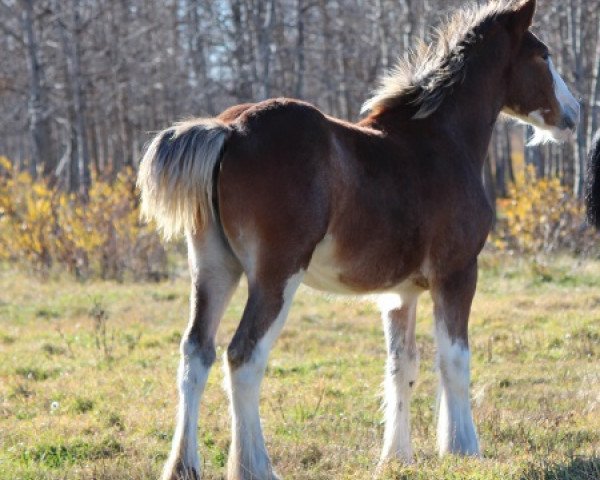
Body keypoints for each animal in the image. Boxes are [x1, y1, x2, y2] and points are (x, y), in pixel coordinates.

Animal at [138, 0, 580, 480]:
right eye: (543, 55)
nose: (573, 113)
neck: (441, 141)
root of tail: (230, 129)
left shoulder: (401, 294)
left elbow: (402, 366)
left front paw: (396, 457)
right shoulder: (457, 273)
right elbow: (454, 359)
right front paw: (463, 448)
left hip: (213, 269)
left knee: (195, 353)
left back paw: (183, 466)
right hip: (276, 276)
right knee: (243, 357)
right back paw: (255, 466)